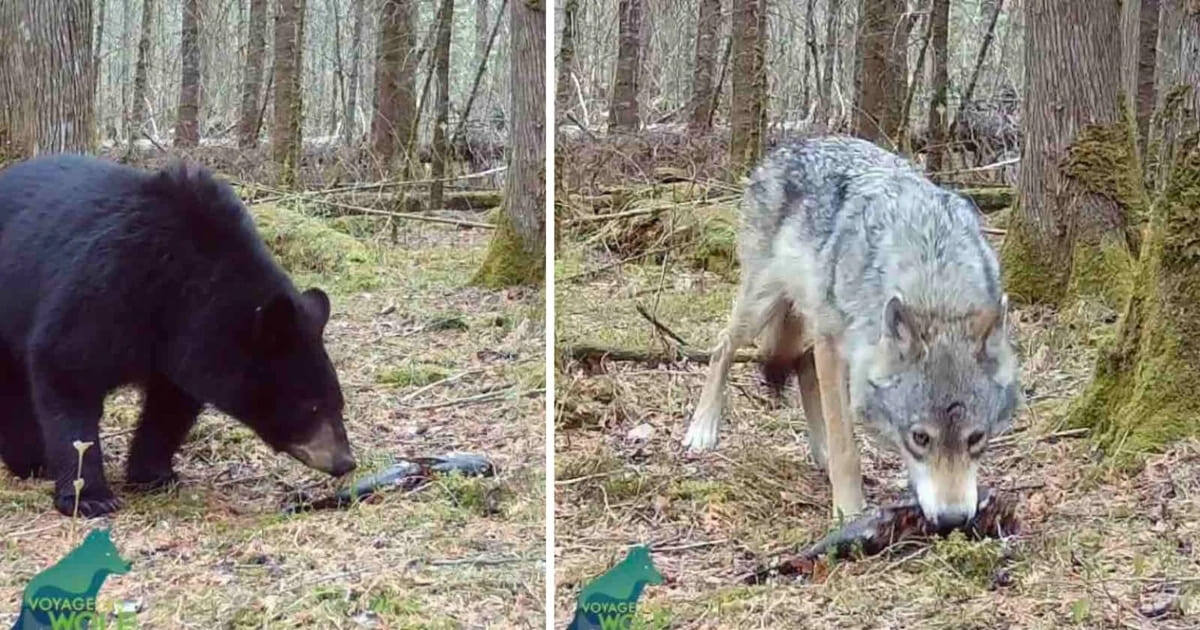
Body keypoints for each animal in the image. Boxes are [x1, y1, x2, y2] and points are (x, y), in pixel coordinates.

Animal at [683, 136, 1020, 529]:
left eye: (976, 438)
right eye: (920, 437)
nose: (953, 520)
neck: (934, 281)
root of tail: (792, 143)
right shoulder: (833, 344)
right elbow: (846, 445)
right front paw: (848, 512)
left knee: (802, 365)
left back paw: (819, 452)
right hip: (763, 305)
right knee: (723, 347)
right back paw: (702, 428)